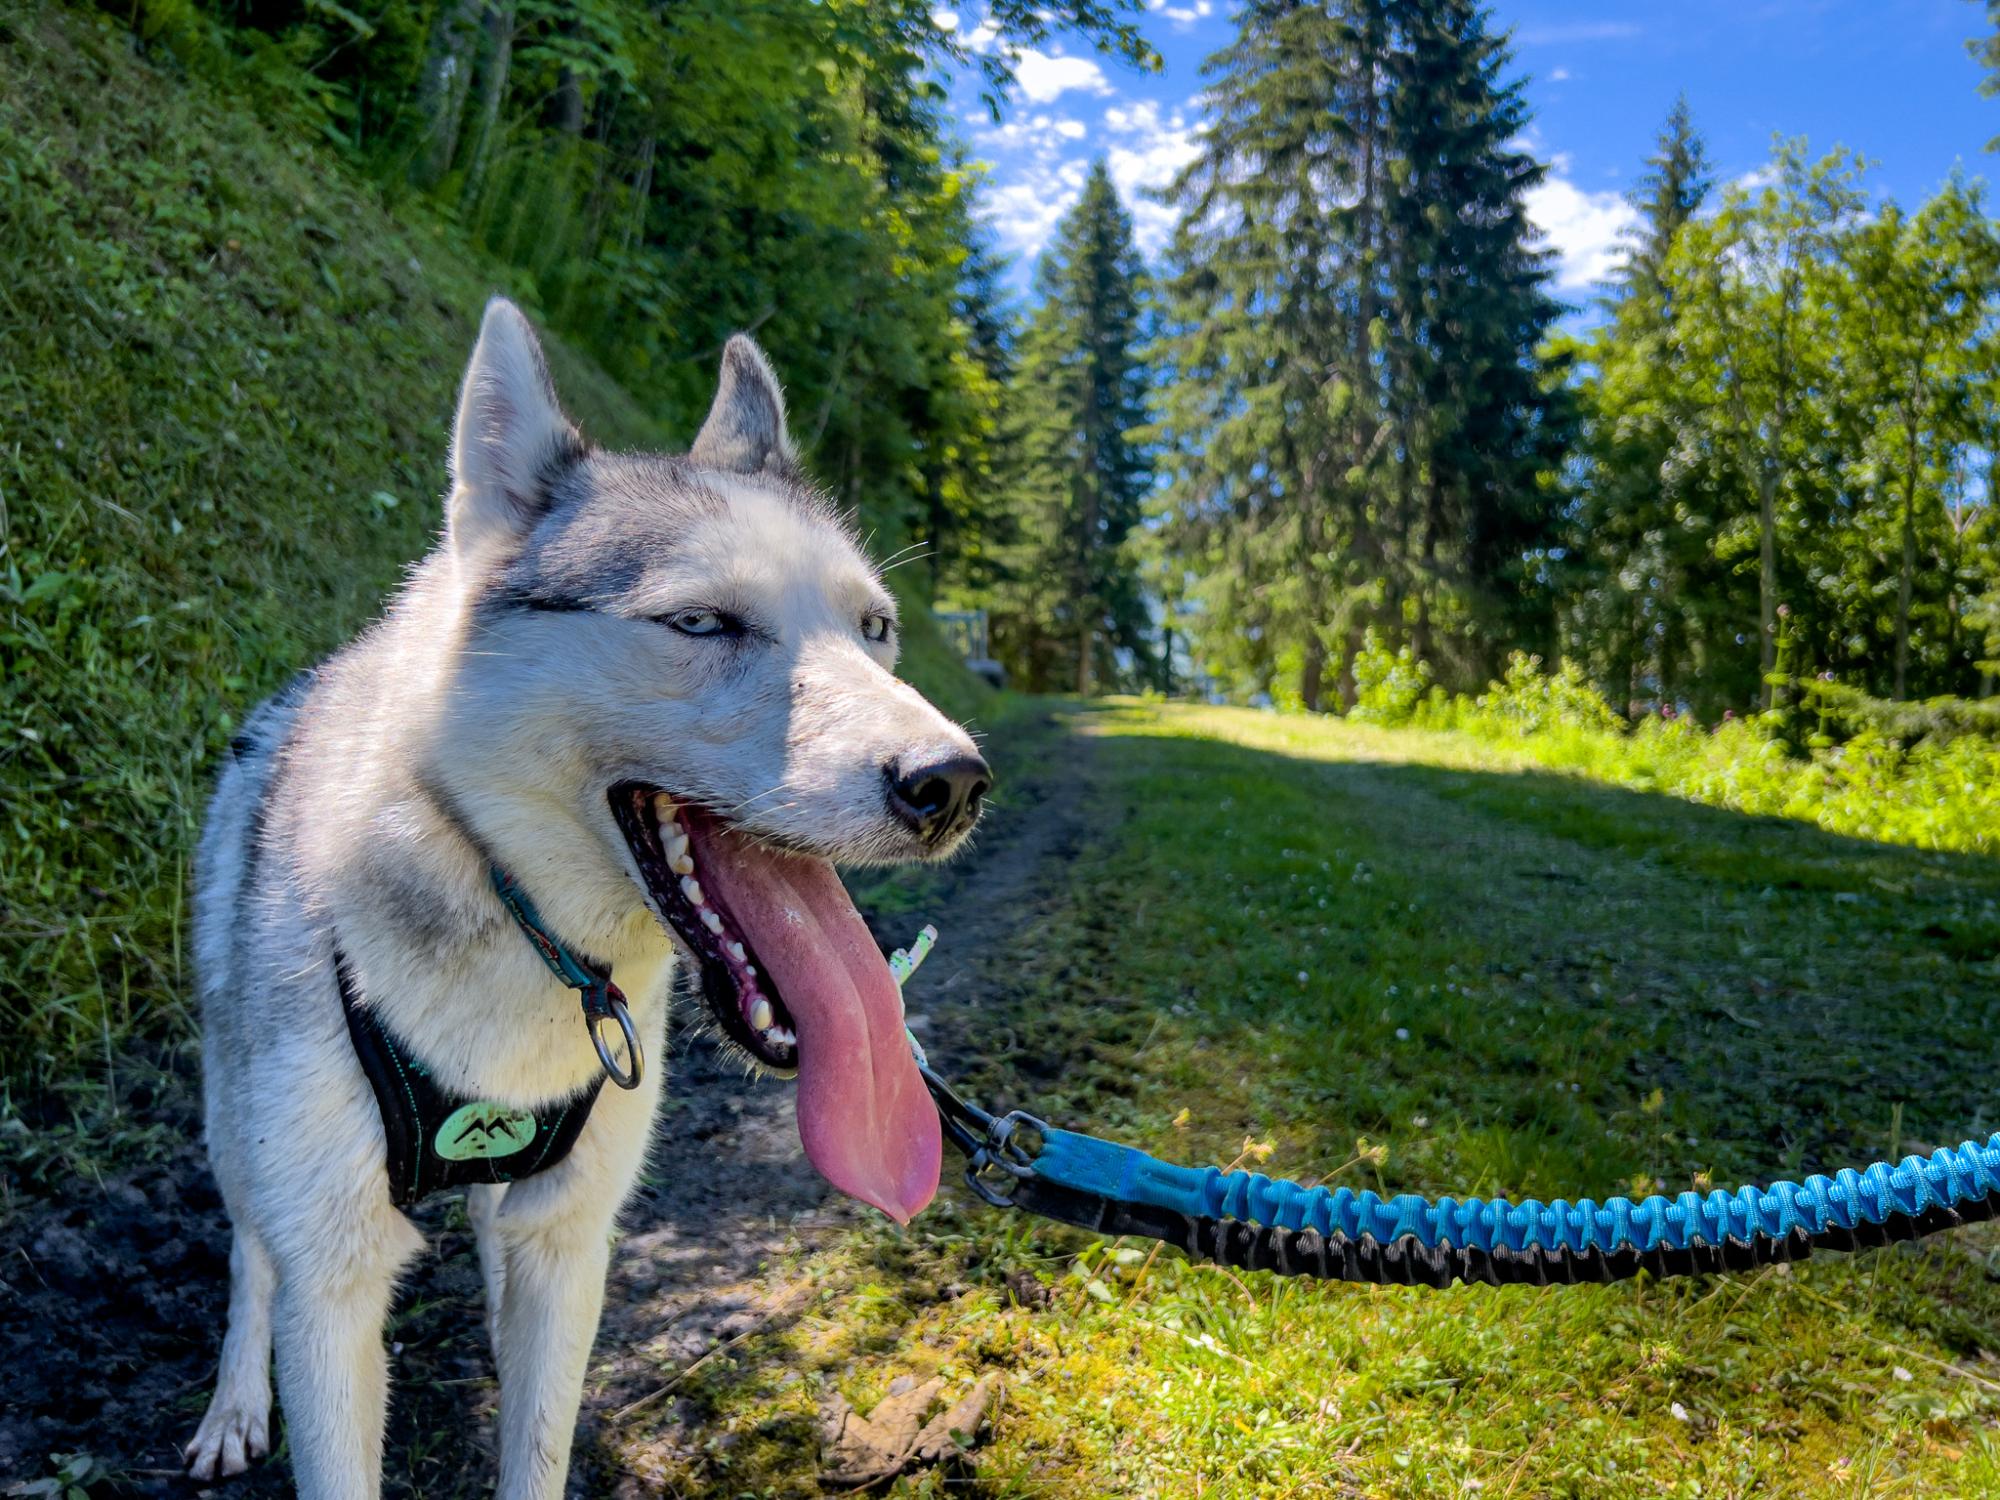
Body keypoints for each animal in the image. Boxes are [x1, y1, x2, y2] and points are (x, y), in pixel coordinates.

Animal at [191, 300, 988, 1496]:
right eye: (701, 624)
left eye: (875, 629)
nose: (953, 782)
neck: (519, 926)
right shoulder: (332, 1275)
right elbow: (300, 1308)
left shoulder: (572, 1240)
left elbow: (538, 1436)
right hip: (237, 1118)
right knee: (250, 1251)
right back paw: (236, 1399)